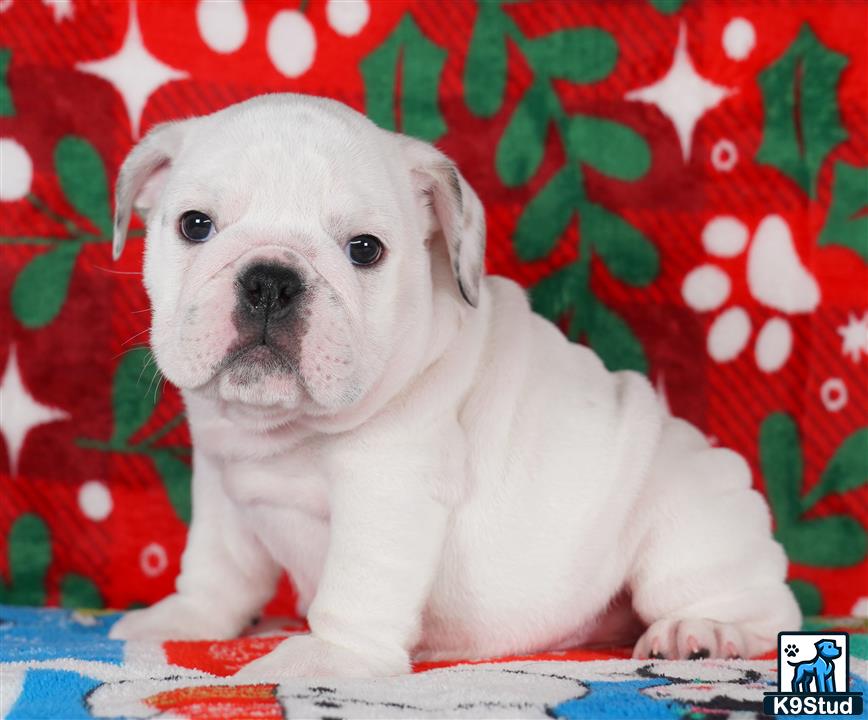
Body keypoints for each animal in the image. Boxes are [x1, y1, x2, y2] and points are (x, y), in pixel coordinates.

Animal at [108, 94, 800, 676]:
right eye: (195, 225)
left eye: (365, 250)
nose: (271, 281)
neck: (283, 431)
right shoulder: (223, 482)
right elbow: (217, 566)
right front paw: (186, 618)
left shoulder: (389, 486)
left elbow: (359, 583)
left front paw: (327, 658)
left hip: (684, 528)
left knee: (762, 609)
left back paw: (701, 629)